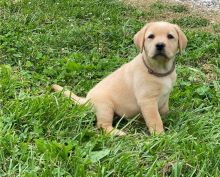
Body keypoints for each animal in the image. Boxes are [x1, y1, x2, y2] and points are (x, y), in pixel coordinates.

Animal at [52, 21, 187, 136]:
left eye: (170, 36)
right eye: (151, 36)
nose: (159, 45)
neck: (159, 70)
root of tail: (86, 100)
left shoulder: (164, 98)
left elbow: (164, 111)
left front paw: (168, 118)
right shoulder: (147, 101)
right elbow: (155, 119)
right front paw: (160, 135)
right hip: (105, 106)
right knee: (102, 125)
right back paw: (118, 133)